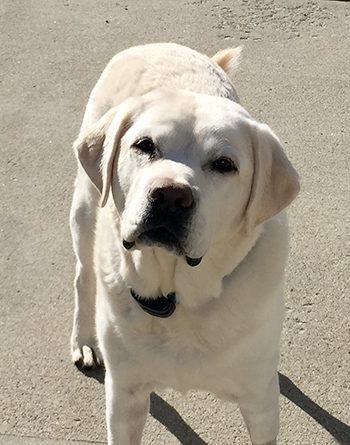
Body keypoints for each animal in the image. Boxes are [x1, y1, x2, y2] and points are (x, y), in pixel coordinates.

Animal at [69, 42, 300, 444]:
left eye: (224, 164)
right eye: (144, 145)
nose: (170, 195)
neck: (179, 296)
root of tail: (162, 44)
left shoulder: (260, 402)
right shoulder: (125, 395)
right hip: (86, 207)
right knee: (83, 277)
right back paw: (83, 340)